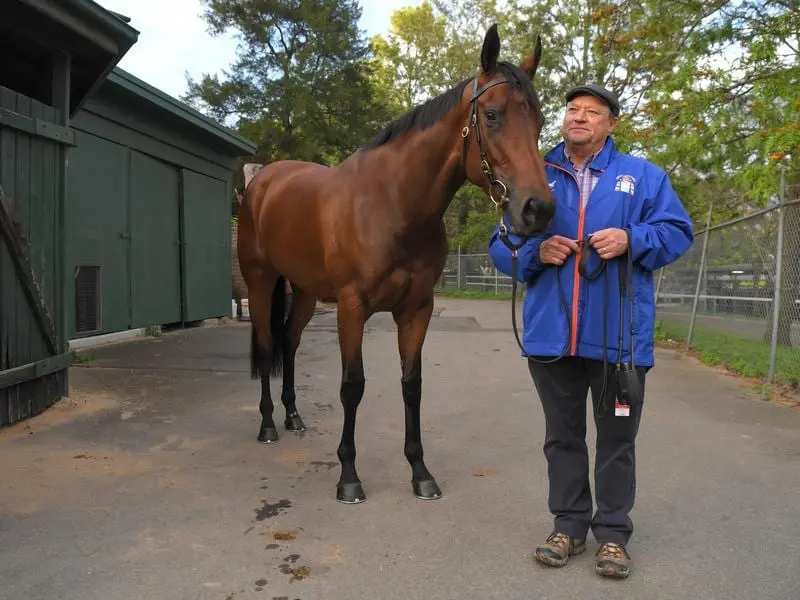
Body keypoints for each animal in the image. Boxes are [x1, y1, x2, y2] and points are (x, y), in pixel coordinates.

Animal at [234, 23, 552, 504]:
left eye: (539, 121)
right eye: (493, 115)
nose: (538, 210)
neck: (394, 205)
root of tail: (262, 182)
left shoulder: (416, 309)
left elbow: (412, 386)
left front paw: (420, 472)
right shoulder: (351, 307)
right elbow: (353, 386)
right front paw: (349, 477)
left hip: (305, 290)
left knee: (290, 341)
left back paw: (292, 415)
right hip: (259, 281)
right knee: (270, 343)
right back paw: (269, 423)